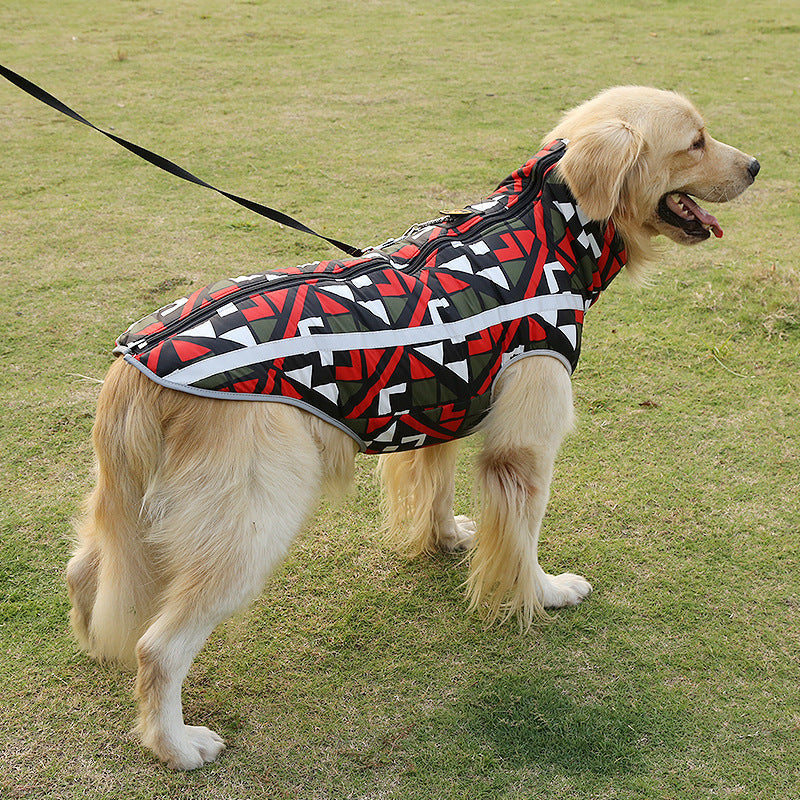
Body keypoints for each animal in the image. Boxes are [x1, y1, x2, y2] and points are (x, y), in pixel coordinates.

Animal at [67, 87, 756, 768]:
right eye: (695, 142)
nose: (754, 166)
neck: (547, 227)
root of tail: (133, 364)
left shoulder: (441, 408)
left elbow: (438, 491)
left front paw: (447, 539)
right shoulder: (525, 449)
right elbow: (524, 537)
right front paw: (545, 592)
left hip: (130, 505)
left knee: (84, 572)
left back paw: (97, 646)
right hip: (251, 519)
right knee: (158, 647)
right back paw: (177, 744)